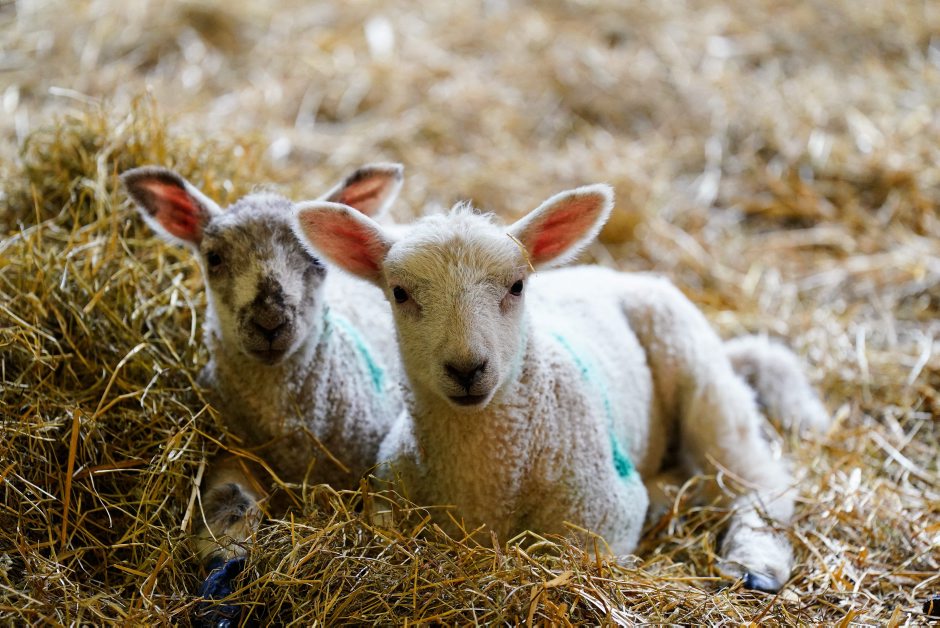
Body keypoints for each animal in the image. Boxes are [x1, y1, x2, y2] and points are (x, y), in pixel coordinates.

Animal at [121, 164, 406, 564]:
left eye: (315, 259)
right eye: (214, 258)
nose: (270, 321)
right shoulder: (230, 449)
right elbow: (233, 495)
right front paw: (225, 540)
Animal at [294, 185, 829, 593]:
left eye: (516, 287)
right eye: (400, 293)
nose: (467, 368)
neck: (486, 474)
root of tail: (606, 273)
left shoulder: (601, 516)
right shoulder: (388, 498)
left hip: (698, 371)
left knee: (757, 478)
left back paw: (754, 562)